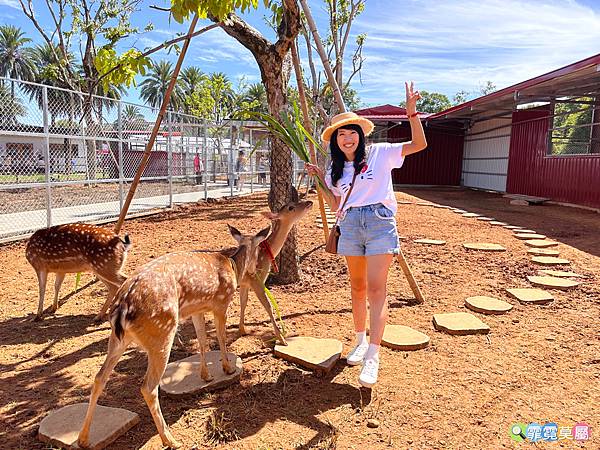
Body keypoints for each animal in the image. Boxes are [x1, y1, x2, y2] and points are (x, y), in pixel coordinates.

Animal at [77, 223, 270, 448]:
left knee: (99, 378)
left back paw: (83, 439)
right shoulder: (221, 304)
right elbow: (221, 338)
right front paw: (228, 368)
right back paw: (170, 440)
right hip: (162, 333)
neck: (232, 266)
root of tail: (123, 306)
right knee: (148, 387)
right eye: (259, 249)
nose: (255, 270)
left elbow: (202, 341)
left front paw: (206, 375)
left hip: (118, 339)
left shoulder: (197, 310)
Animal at [238, 199, 314, 342]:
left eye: (294, 200)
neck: (266, 254)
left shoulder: (245, 283)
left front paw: (243, 330)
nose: (309, 202)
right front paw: (281, 338)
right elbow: (269, 305)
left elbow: (243, 302)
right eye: (290, 207)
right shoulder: (256, 280)